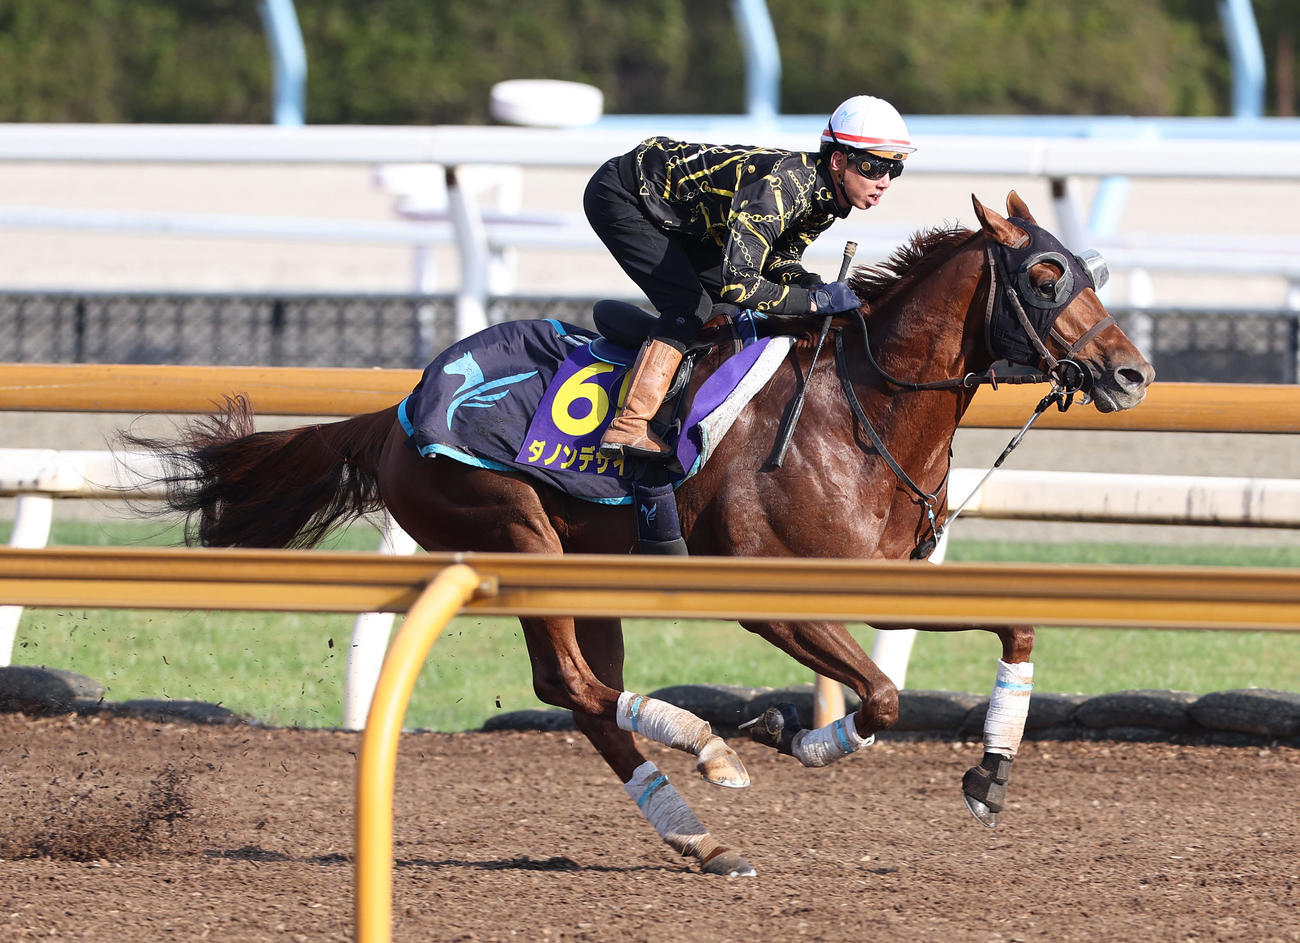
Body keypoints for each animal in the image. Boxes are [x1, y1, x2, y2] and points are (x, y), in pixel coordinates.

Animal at [126, 192, 1154, 877]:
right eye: (1047, 274)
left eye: (1090, 267)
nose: (1132, 373)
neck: (857, 409)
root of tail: (399, 409)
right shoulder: (771, 594)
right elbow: (884, 698)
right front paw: (784, 735)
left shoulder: (887, 579)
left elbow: (1011, 629)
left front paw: (989, 774)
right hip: (514, 536)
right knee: (574, 684)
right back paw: (707, 751)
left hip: (587, 566)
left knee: (583, 694)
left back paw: (698, 834)